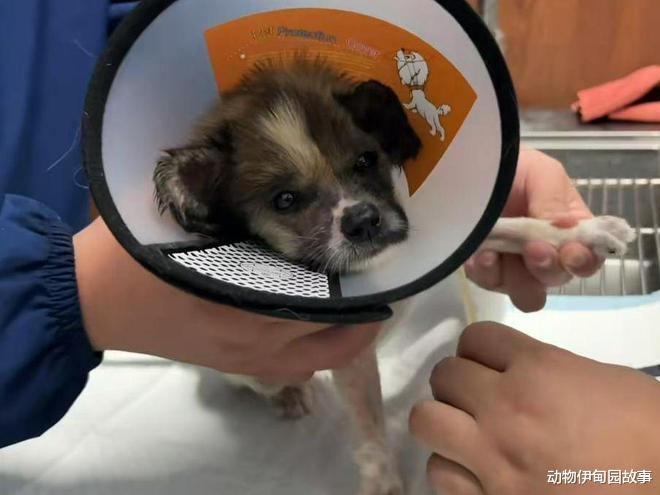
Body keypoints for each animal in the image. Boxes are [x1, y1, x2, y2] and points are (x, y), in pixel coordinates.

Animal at [154, 58, 635, 495]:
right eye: (285, 200)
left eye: (366, 160)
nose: (363, 219)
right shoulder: (349, 355)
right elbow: (370, 427)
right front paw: (383, 482)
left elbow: (519, 227)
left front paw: (587, 233)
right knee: (263, 381)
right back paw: (289, 394)